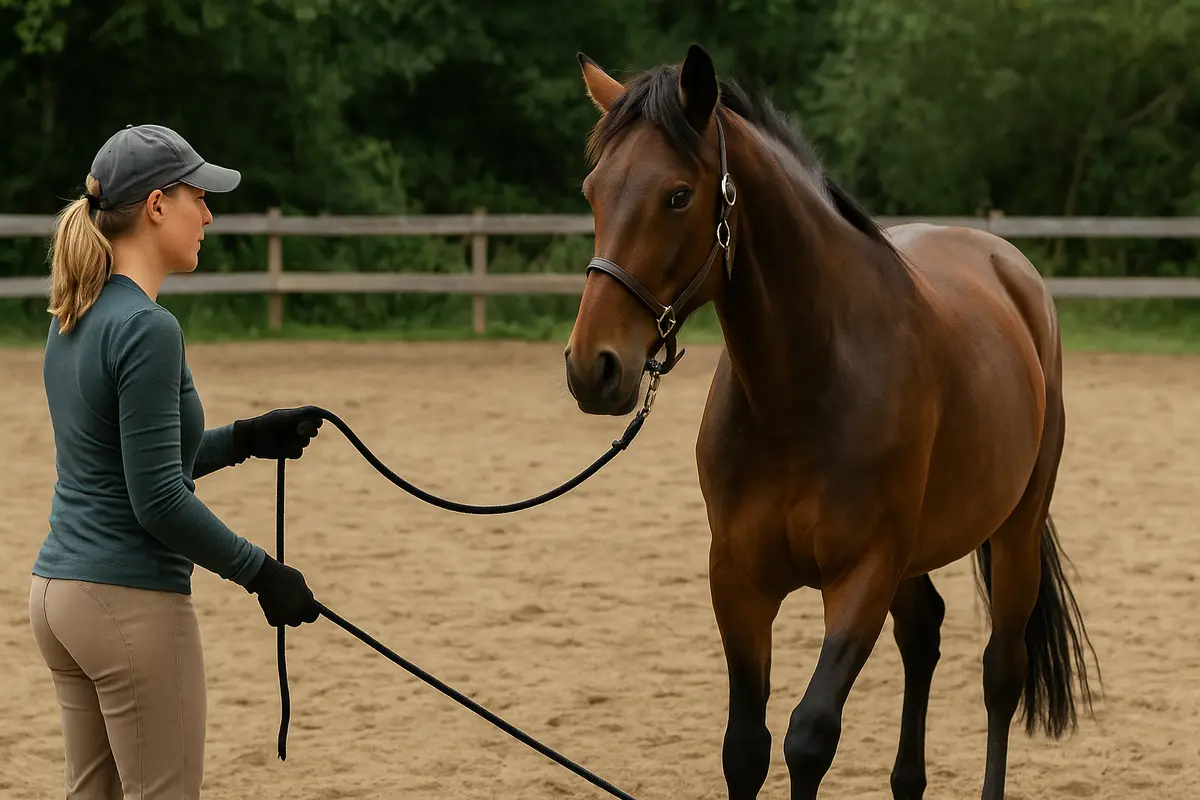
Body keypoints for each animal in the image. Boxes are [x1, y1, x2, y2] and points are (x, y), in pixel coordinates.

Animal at [562, 44, 1099, 800]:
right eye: (593, 191)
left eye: (678, 195)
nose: (594, 366)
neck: (805, 390)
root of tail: (1009, 266)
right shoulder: (738, 577)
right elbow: (745, 747)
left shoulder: (863, 573)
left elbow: (809, 737)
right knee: (924, 636)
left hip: (1015, 530)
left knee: (1002, 672)